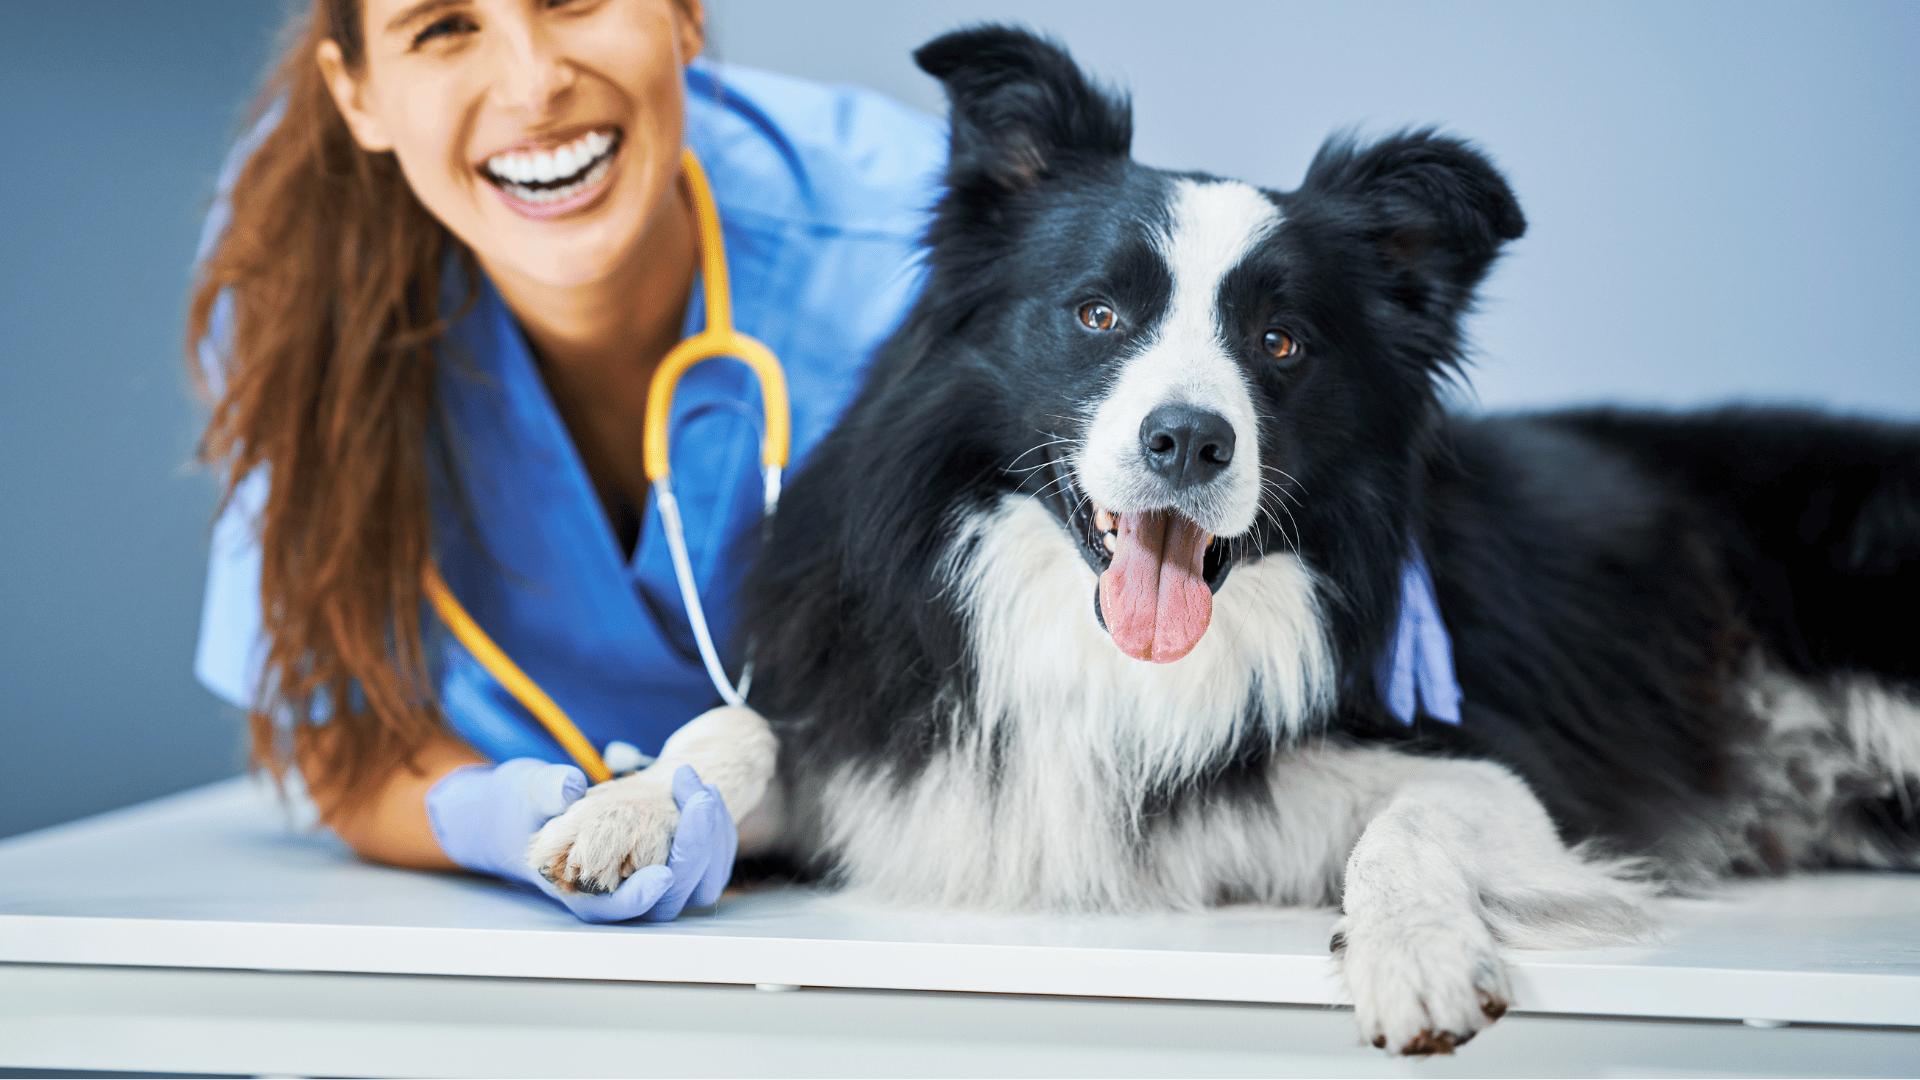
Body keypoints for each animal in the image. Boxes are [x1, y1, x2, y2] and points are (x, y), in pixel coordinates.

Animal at [533, 25, 1920, 1053]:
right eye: (1098, 313)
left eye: (1282, 342)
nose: (1190, 442)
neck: (1108, 657)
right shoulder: (902, 747)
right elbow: (742, 730)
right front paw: (628, 809)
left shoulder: (1512, 782)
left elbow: (1418, 815)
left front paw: (1415, 953)